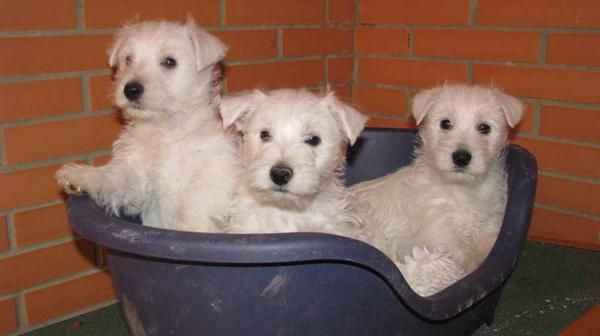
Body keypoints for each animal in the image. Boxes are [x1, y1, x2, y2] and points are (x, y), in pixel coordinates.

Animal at [55, 20, 239, 231]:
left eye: (169, 61)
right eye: (128, 59)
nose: (130, 89)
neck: (167, 128)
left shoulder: (214, 174)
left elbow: (194, 204)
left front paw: (190, 228)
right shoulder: (136, 175)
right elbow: (112, 176)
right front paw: (79, 175)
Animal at [354, 83, 524, 294]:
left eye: (484, 127)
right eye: (445, 123)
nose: (461, 157)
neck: (462, 188)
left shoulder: (489, 221)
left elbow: (491, 246)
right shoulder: (438, 227)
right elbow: (460, 249)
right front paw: (472, 267)